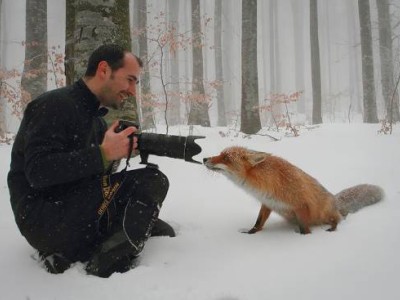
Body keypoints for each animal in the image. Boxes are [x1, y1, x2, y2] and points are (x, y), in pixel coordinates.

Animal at [203, 146, 384, 236]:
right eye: (220, 154)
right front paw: (250, 233)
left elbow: (305, 229)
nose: (204, 158)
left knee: (337, 220)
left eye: (226, 158)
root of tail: (335, 199)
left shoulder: (301, 205)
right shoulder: (267, 202)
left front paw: (303, 240)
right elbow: (258, 222)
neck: (265, 181)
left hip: (326, 213)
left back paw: (332, 229)